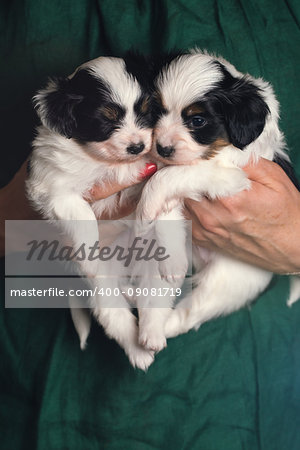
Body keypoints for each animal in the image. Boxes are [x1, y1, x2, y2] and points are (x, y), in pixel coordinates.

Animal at [26, 55, 157, 370]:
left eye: (147, 111)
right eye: (106, 119)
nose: (137, 146)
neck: (99, 159)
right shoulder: (54, 188)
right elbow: (83, 214)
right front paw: (88, 256)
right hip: (101, 289)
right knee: (112, 314)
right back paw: (138, 352)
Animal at [137, 50, 300, 348]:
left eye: (197, 121)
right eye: (157, 110)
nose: (162, 148)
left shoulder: (230, 176)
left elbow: (173, 174)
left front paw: (148, 203)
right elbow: (167, 215)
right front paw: (171, 254)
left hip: (227, 282)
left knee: (193, 311)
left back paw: (165, 329)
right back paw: (150, 332)